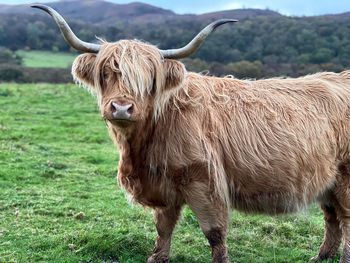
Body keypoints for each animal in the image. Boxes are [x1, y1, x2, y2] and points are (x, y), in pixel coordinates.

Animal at [33, 4, 350, 263]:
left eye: (149, 80)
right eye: (106, 73)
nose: (122, 107)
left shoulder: (203, 180)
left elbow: (214, 232)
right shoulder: (163, 183)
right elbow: (163, 227)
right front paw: (157, 258)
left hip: (345, 177)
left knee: (345, 217)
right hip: (327, 180)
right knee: (332, 216)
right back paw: (321, 257)